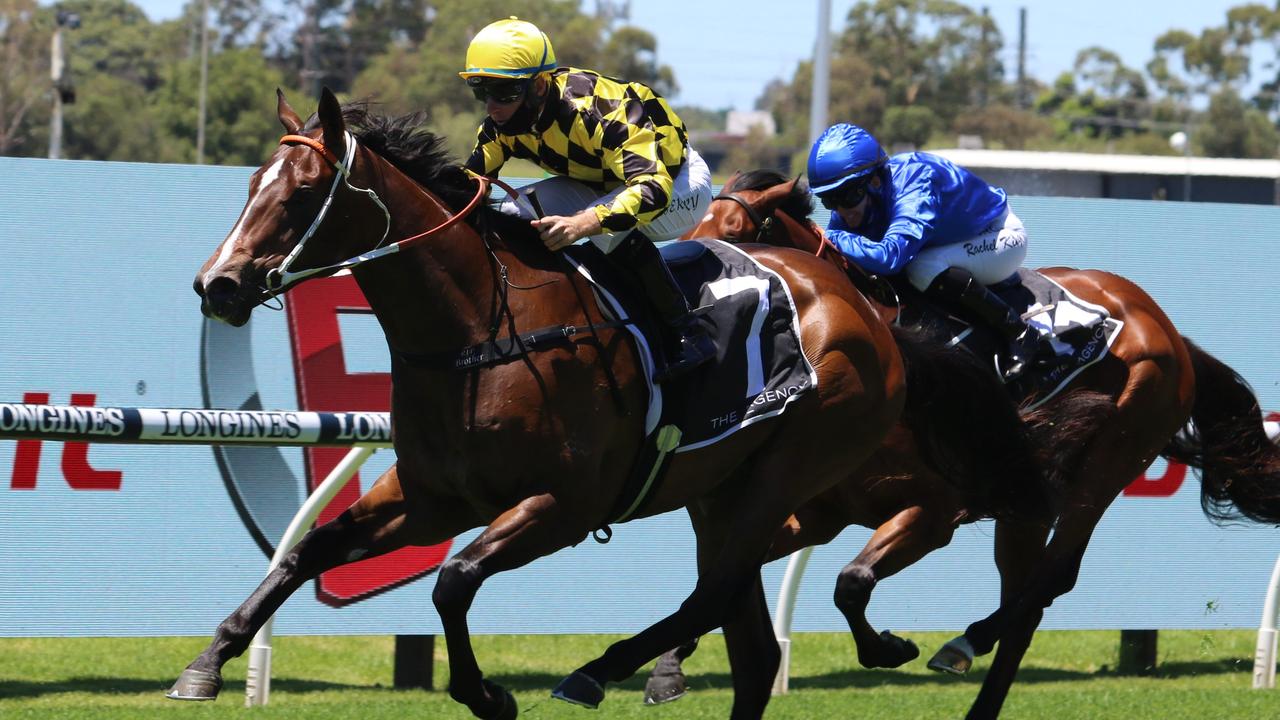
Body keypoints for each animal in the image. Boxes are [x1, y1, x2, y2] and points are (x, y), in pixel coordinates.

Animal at [165, 90, 1034, 717]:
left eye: (304, 191)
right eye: (252, 184)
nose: (219, 284)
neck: (478, 329)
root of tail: (863, 307)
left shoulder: (565, 504)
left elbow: (453, 580)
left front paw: (486, 693)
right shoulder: (429, 495)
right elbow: (306, 552)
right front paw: (207, 664)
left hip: (789, 469)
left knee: (716, 593)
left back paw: (599, 668)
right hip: (724, 493)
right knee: (747, 644)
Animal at [655, 166, 1280, 712]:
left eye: (733, 231)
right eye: (688, 227)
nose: (685, 302)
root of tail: (1163, 325)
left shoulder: (933, 513)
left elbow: (850, 583)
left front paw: (888, 647)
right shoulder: (812, 512)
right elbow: (718, 581)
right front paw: (668, 665)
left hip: (1110, 461)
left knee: (1051, 578)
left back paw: (964, 643)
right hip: (1027, 505)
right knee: (1026, 602)